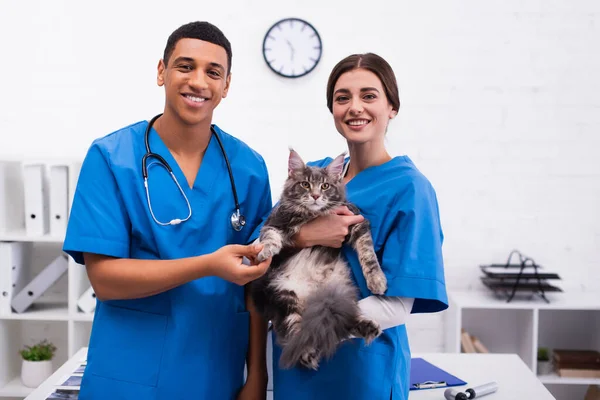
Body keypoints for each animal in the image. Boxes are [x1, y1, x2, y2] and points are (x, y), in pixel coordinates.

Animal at [250, 151, 386, 372]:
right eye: (305, 184)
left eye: (325, 186)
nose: (315, 196)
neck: (312, 215)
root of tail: (314, 298)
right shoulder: (274, 222)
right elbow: (269, 237)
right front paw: (267, 251)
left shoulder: (357, 223)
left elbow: (368, 254)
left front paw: (377, 281)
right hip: (285, 297)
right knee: (298, 332)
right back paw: (308, 354)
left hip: (339, 296)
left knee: (339, 320)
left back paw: (369, 327)